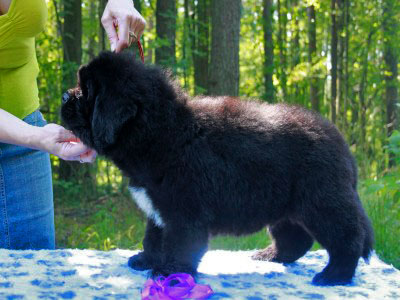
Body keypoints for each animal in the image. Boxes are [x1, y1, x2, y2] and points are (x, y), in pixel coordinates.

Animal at [61, 51, 374, 286]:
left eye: (87, 92)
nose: (65, 95)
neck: (163, 132)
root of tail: (341, 143)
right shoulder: (158, 210)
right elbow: (153, 238)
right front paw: (146, 259)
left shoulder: (184, 212)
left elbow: (179, 245)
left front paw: (168, 273)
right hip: (285, 206)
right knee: (294, 239)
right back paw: (270, 256)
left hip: (323, 201)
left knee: (348, 237)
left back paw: (334, 275)